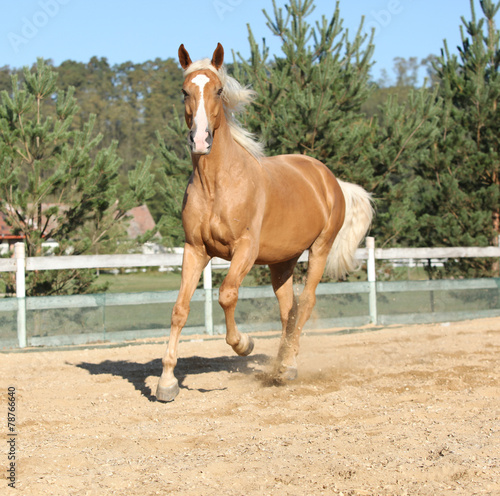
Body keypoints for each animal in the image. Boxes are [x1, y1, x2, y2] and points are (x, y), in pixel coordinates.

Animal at [155, 43, 372, 404]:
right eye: (184, 91)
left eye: (219, 90)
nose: (200, 140)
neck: (217, 184)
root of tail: (330, 179)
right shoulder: (195, 250)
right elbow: (179, 309)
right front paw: (166, 382)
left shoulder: (245, 249)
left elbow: (227, 295)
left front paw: (244, 343)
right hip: (281, 262)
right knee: (289, 309)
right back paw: (285, 364)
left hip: (320, 248)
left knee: (306, 303)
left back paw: (286, 367)